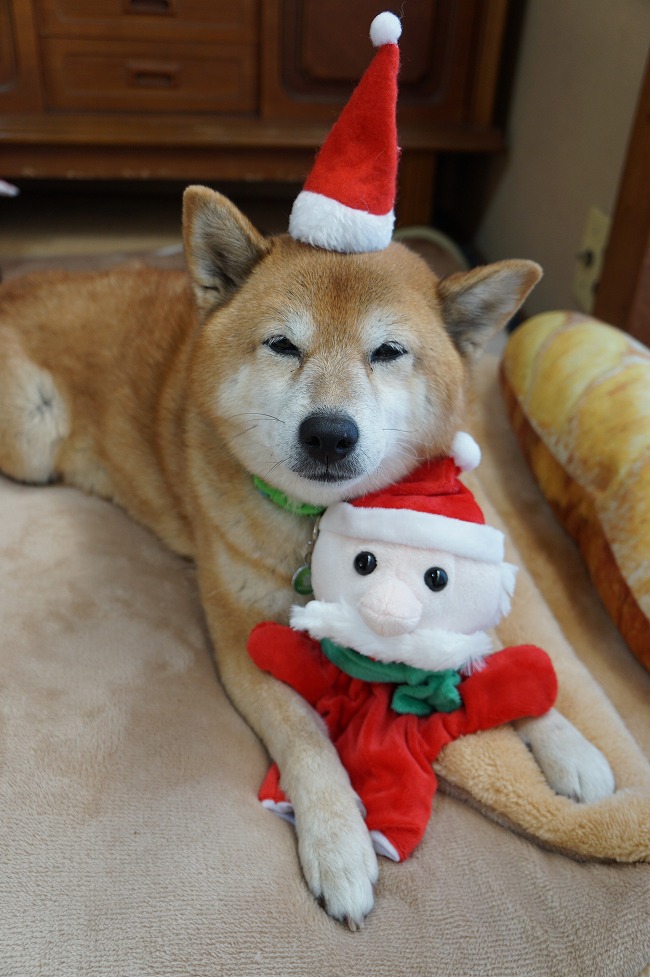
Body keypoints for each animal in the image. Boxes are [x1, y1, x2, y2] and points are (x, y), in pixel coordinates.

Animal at [0, 186, 615, 927]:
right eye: (283, 345)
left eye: (388, 351)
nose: (328, 433)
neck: (319, 530)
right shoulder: (244, 639)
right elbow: (306, 738)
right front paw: (339, 843)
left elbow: (494, 652)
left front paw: (569, 744)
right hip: (31, 444)